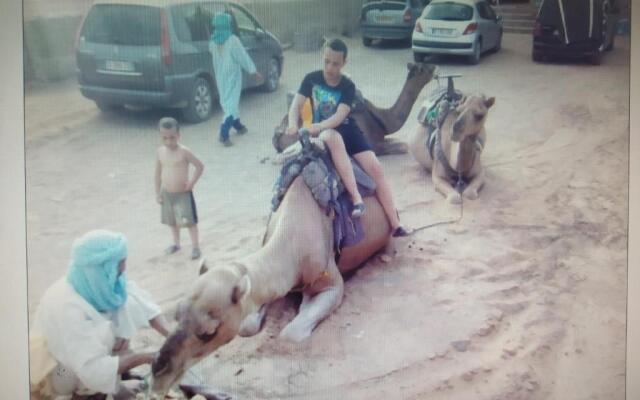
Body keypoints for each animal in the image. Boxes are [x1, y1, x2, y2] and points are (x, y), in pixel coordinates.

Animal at [149, 174, 390, 394]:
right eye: (176, 315)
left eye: (209, 332)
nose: (158, 374)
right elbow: (247, 324)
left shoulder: (329, 282)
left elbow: (290, 333)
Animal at [270, 62, 436, 156]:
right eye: (424, 68)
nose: (435, 66)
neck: (382, 119)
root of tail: (279, 131)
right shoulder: (374, 146)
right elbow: (404, 146)